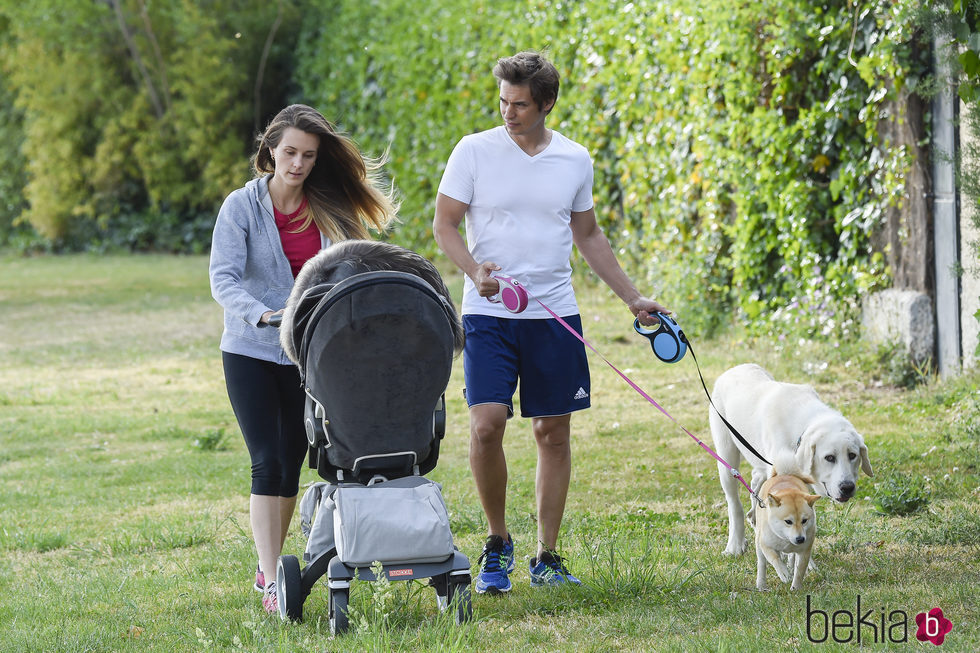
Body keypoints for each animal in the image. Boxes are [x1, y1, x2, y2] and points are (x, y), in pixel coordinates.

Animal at [704, 364, 872, 552]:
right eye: (829, 458)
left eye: (852, 455)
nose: (847, 487)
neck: (802, 427)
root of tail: (735, 368)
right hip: (727, 457)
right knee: (734, 503)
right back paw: (735, 544)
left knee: (756, 481)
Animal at [756, 454, 820, 592]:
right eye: (788, 521)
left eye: (804, 520)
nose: (800, 539)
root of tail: (783, 474)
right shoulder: (766, 545)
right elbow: (775, 559)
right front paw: (784, 573)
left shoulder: (804, 551)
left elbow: (800, 570)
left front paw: (796, 588)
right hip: (758, 542)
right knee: (762, 563)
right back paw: (761, 584)